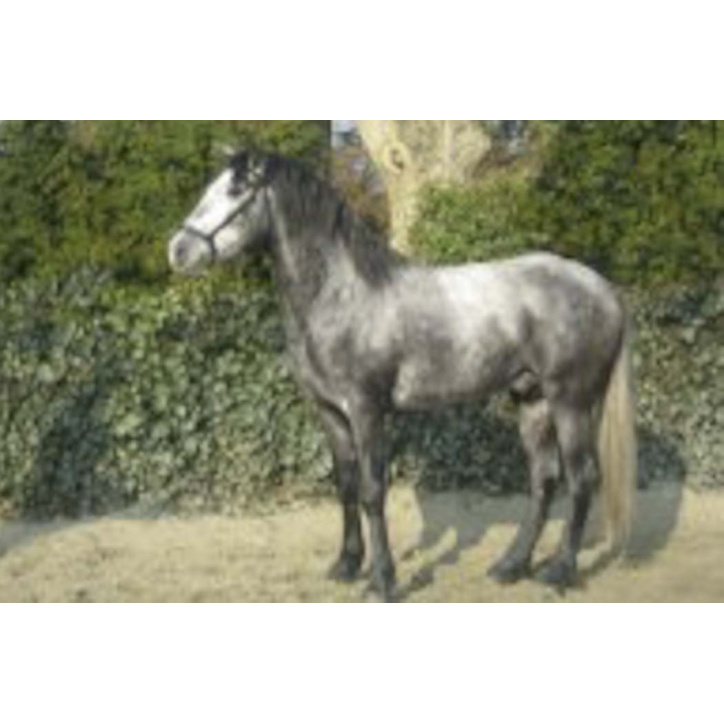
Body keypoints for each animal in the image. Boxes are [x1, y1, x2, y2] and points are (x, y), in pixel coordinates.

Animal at [168, 151, 637, 602]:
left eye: (235, 190)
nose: (178, 250)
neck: (341, 294)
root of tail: (603, 289)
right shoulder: (331, 413)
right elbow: (346, 486)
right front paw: (346, 566)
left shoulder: (366, 410)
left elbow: (373, 491)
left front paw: (383, 580)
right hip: (533, 400)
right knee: (545, 479)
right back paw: (511, 566)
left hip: (571, 402)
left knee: (582, 480)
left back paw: (559, 573)